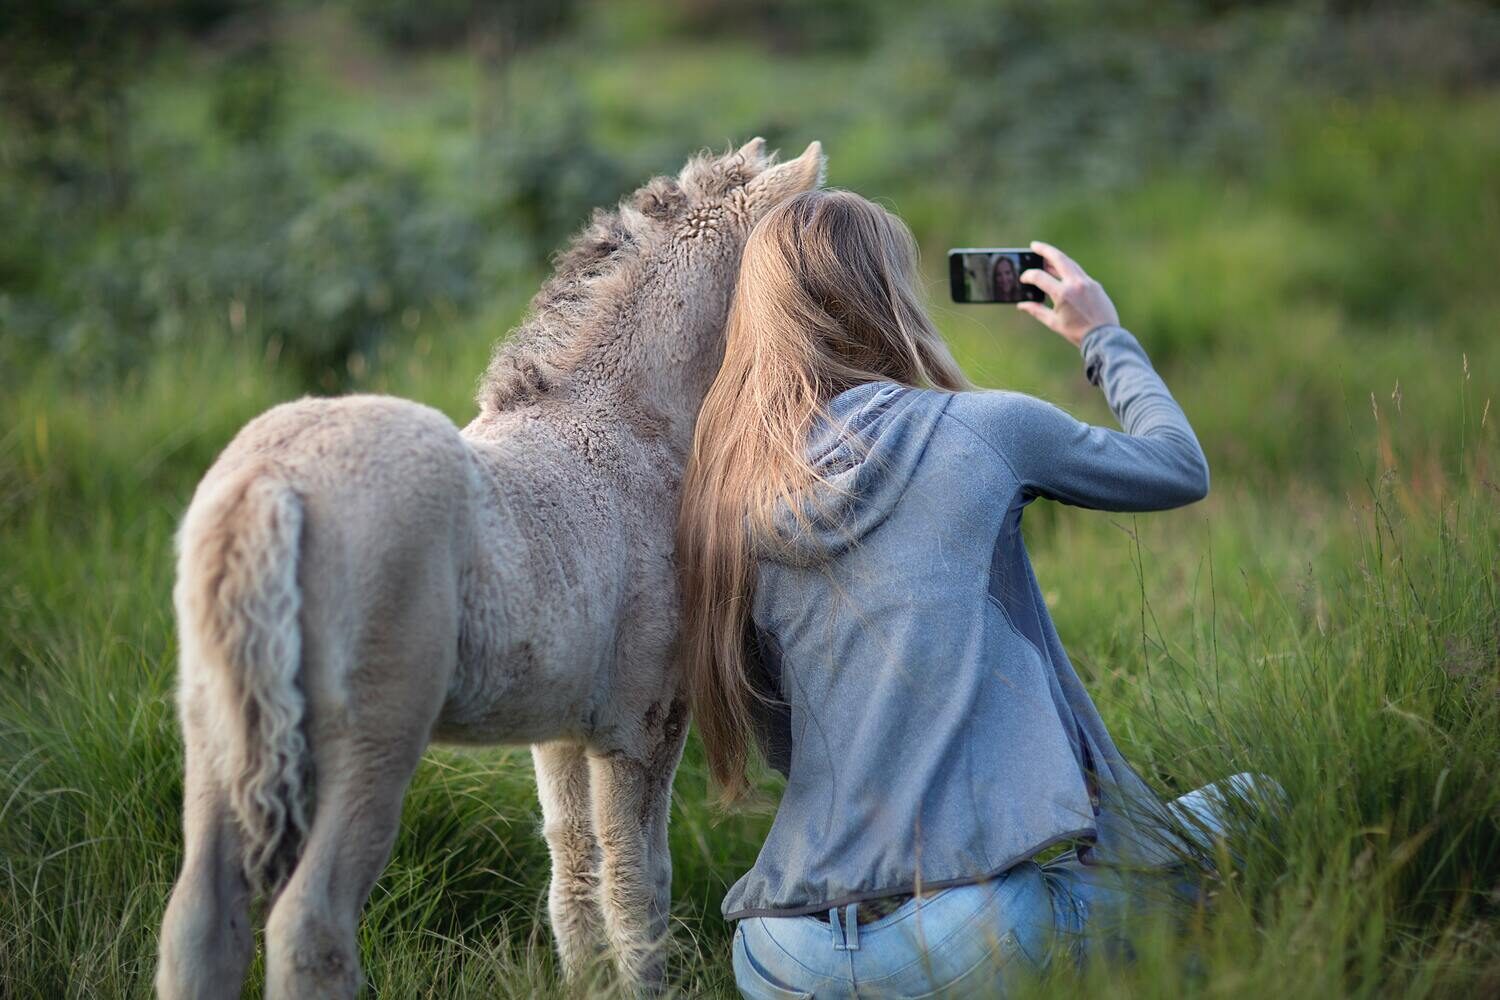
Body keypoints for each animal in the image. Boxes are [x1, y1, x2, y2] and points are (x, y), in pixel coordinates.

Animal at [155, 138, 826, 998]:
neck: (630, 425)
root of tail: (271, 480)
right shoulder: (643, 722)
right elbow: (639, 880)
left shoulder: (564, 728)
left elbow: (574, 863)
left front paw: (583, 983)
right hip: (370, 746)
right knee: (309, 924)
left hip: (216, 729)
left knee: (199, 918)